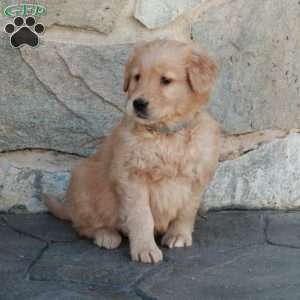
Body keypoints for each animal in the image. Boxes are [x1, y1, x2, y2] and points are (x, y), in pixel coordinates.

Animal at [47, 39, 220, 262]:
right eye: (137, 77)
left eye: (166, 80)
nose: (138, 103)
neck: (165, 134)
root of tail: (69, 208)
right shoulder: (131, 178)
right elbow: (141, 217)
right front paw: (145, 249)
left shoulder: (198, 176)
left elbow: (187, 211)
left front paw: (179, 235)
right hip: (82, 180)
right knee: (84, 225)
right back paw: (106, 235)